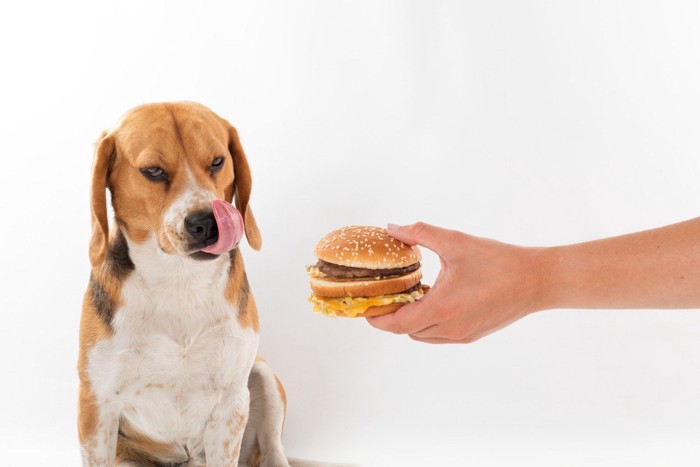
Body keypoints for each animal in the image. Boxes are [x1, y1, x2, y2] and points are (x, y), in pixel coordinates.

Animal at [79, 102, 290, 467]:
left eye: (217, 161)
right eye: (152, 171)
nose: (207, 222)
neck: (178, 279)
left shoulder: (230, 406)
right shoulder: (95, 404)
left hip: (262, 377)